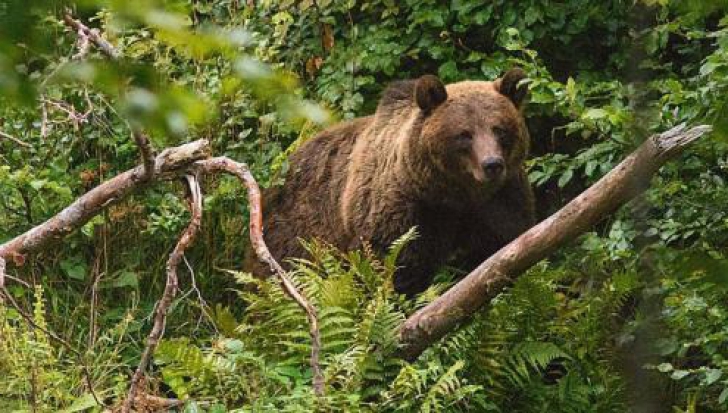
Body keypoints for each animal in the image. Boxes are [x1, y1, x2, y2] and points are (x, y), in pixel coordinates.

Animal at [247, 69, 536, 296]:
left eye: (499, 129)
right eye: (464, 134)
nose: (492, 164)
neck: (450, 195)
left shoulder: (499, 200)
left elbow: (499, 247)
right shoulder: (403, 211)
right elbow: (393, 268)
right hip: (295, 233)